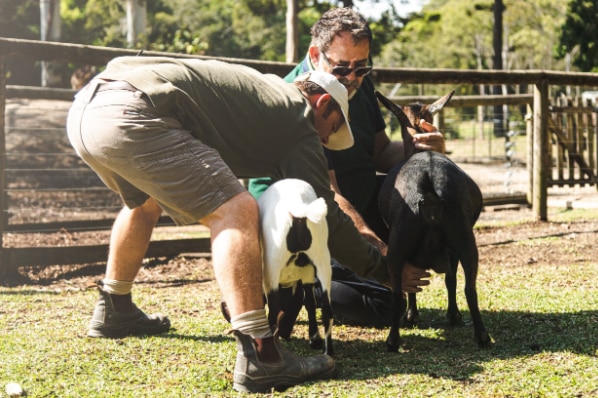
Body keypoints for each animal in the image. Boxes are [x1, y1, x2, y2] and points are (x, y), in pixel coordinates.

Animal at [260, 177, 336, 354]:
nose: (285, 333)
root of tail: (299, 213)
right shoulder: (308, 272)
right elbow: (309, 302)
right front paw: (314, 339)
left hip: (272, 265)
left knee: (273, 310)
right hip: (322, 259)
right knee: (327, 310)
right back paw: (328, 352)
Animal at [378, 90, 494, 352]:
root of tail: (428, 179)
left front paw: (413, 316)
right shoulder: (450, 250)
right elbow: (449, 279)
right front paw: (451, 315)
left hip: (400, 240)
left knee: (398, 290)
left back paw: (393, 340)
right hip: (463, 237)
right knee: (469, 287)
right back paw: (482, 335)